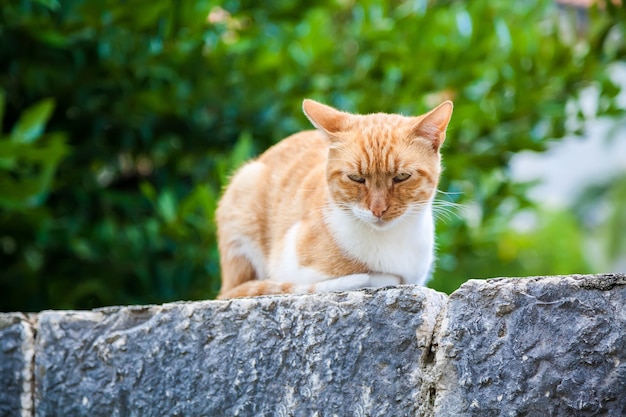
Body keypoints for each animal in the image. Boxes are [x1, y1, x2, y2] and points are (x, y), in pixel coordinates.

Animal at [214, 98, 448, 298]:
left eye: (401, 177)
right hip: (245, 188)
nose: (378, 209)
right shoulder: (292, 268)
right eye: (356, 178)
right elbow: (368, 278)